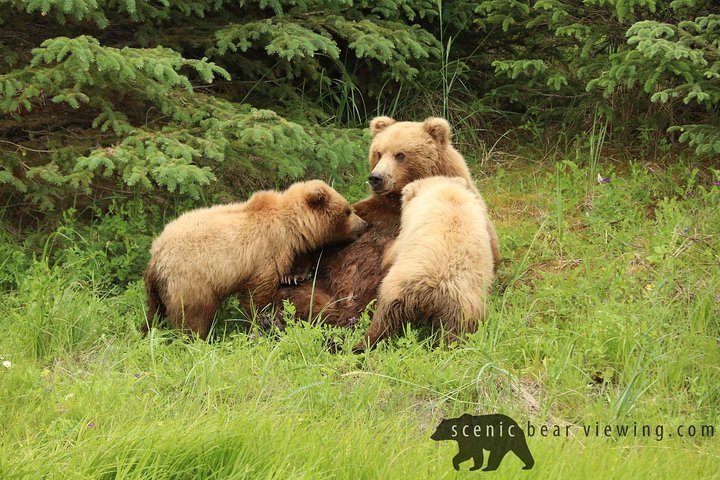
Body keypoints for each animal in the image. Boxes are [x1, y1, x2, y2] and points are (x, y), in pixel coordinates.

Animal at [272, 116, 500, 326]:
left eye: (400, 155)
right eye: (378, 153)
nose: (376, 177)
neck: (396, 203)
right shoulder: (368, 214)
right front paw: (293, 274)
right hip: (322, 285)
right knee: (293, 296)